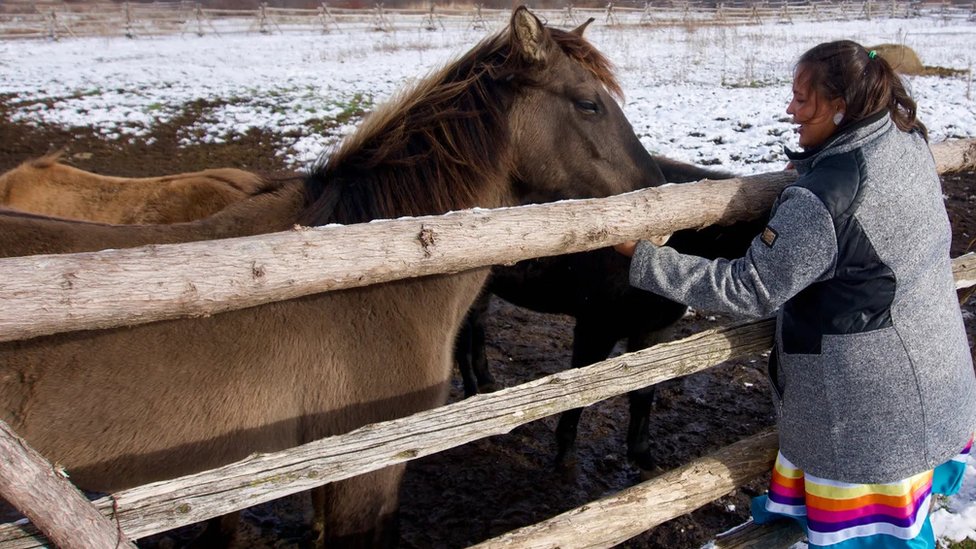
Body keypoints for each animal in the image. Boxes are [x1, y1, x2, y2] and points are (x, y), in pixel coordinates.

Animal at [454, 155, 768, 476]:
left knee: (476, 326)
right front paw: (566, 453)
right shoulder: (596, 328)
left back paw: (486, 384)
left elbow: (644, 390)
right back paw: (472, 395)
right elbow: (581, 388)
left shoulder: (655, 330)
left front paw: (643, 458)